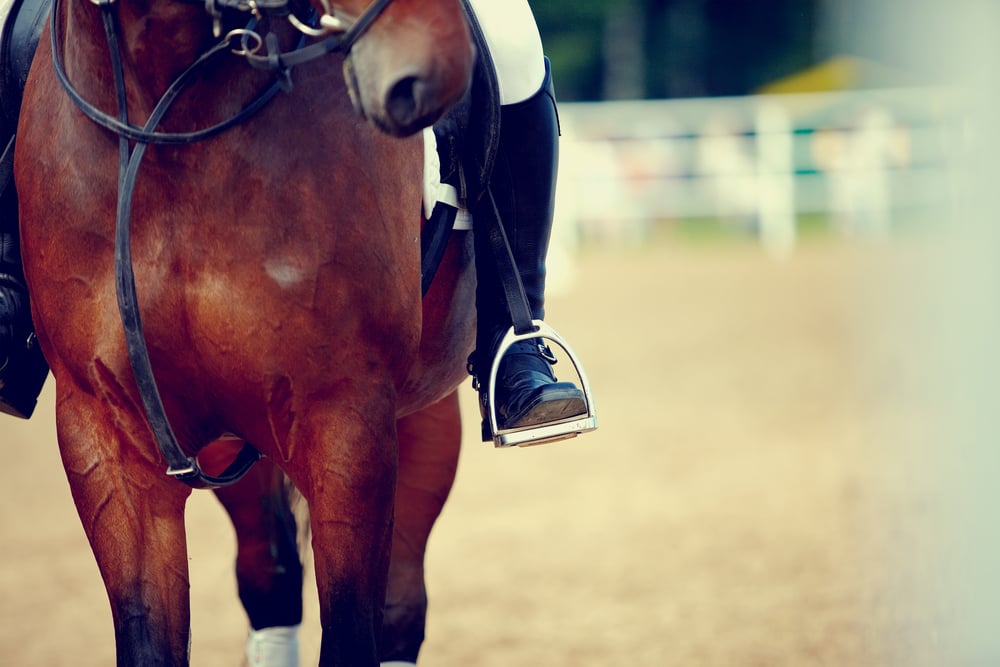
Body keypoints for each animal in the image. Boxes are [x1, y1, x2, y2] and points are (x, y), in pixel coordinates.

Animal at [15, 0, 476, 664]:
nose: (433, 68)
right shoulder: (104, 434)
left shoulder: (347, 418)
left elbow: (351, 633)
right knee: (271, 579)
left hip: (420, 416)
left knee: (398, 609)